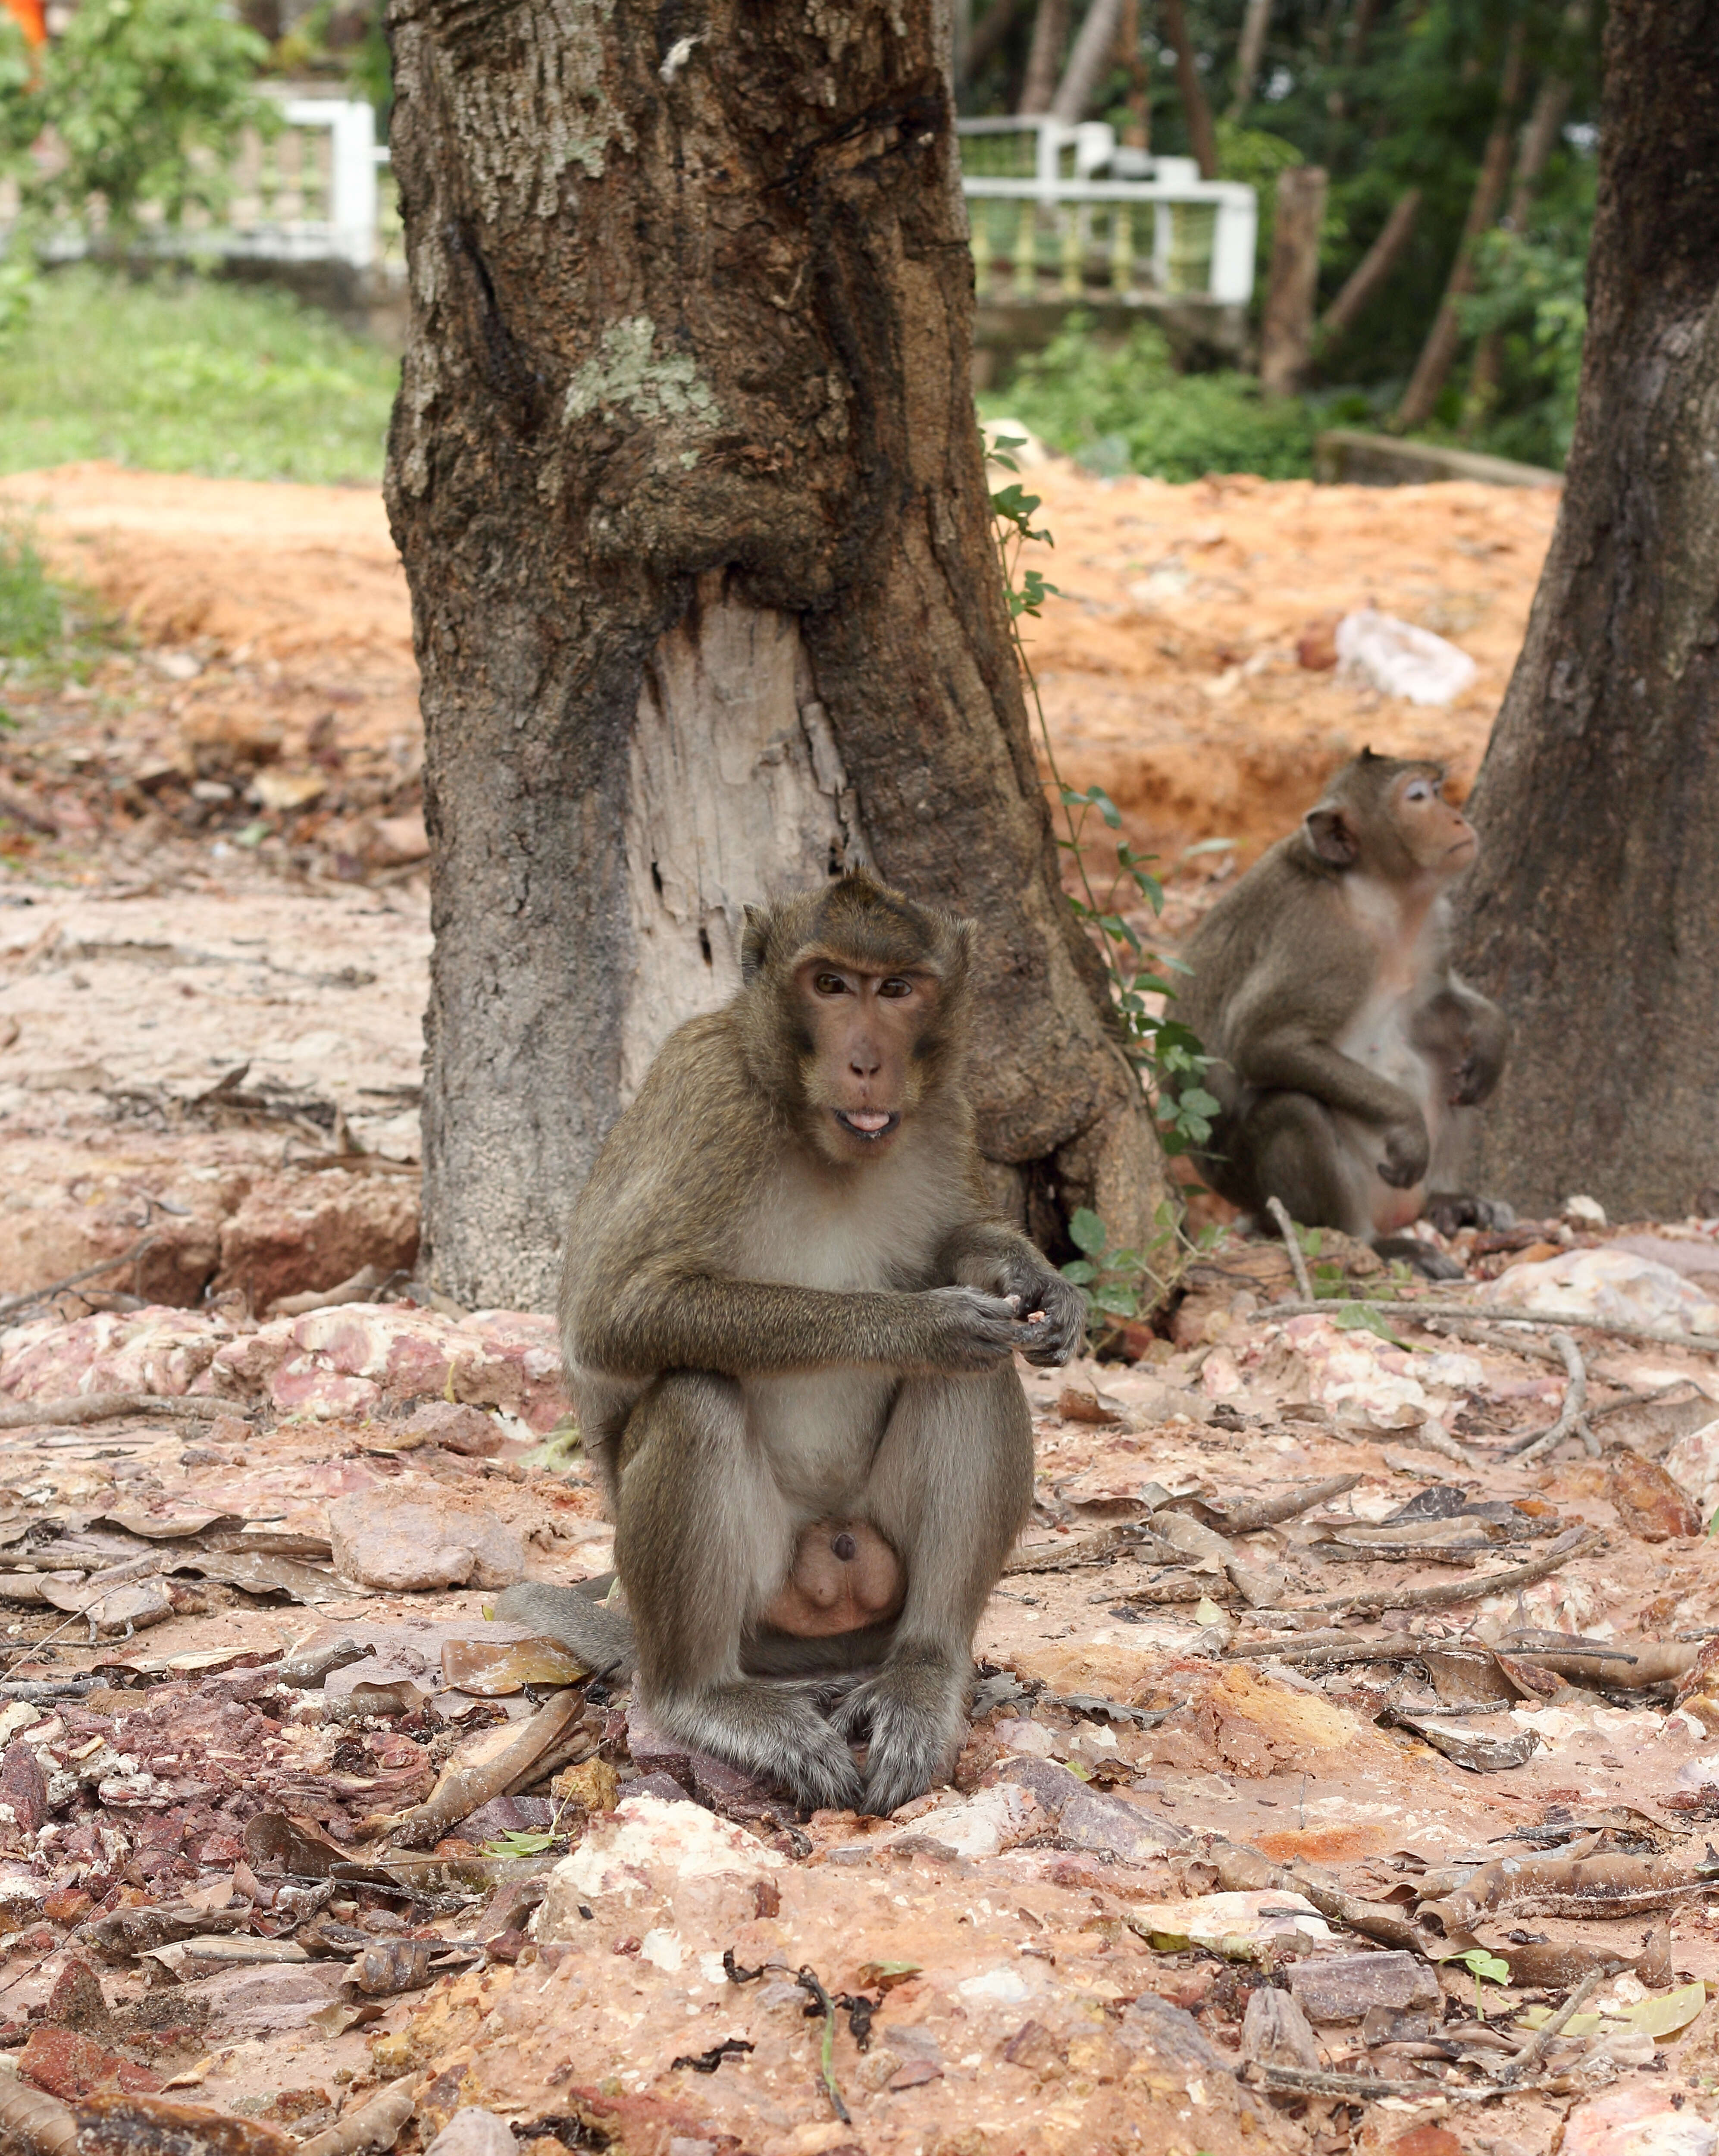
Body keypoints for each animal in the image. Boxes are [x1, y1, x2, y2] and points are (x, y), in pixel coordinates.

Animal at [500, 867, 1087, 1811]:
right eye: (830, 984)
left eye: (897, 988)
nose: (867, 1061)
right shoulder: (708, 1098)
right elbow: (613, 1314)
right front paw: (923, 1323)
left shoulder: (947, 1111)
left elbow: (961, 1245)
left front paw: (1033, 1279)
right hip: (756, 1605)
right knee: (696, 1393)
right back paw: (704, 1697)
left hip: (869, 1603)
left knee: (974, 1380)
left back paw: (925, 1671)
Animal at [1173, 750, 1509, 1268]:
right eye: (1417, 796)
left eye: (1438, 790)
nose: (1456, 817)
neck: (1376, 896)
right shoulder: (1326, 945)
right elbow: (1263, 1045)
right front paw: (1407, 1124)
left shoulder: (1434, 922)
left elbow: (1436, 1004)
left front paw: (1493, 1035)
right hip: (1270, 1196)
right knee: (1294, 1109)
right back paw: (1372, 1242)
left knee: (1450, 1059)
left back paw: (1447, 1199)